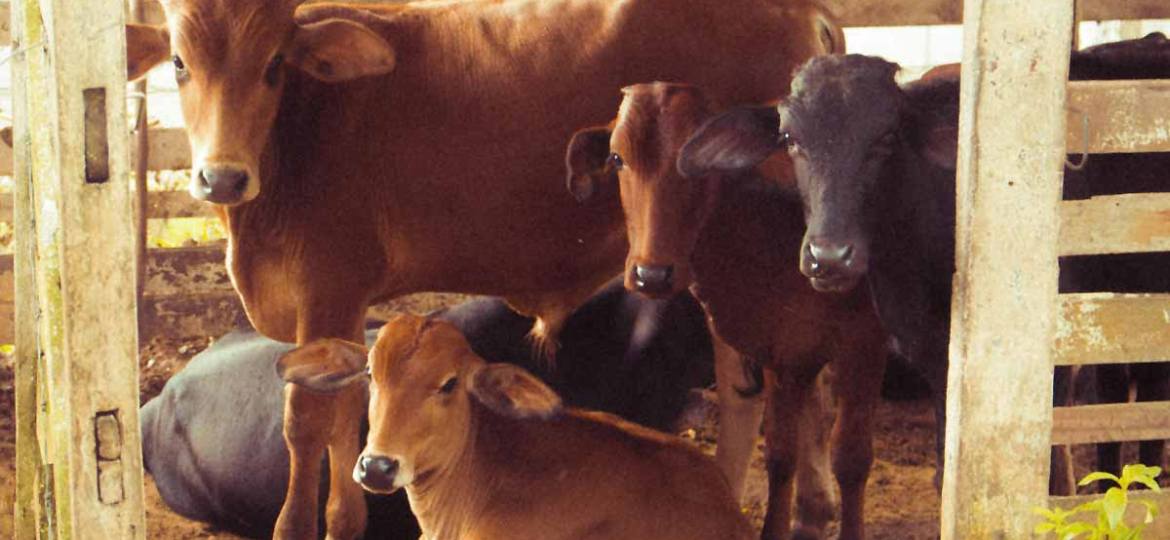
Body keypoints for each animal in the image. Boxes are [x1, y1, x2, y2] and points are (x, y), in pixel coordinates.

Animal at [564, 82, 888, 540]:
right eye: (616, 158)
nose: (651, 274)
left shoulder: (865, 343)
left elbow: (852, 458)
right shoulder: (784, 350)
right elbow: (781, 454)